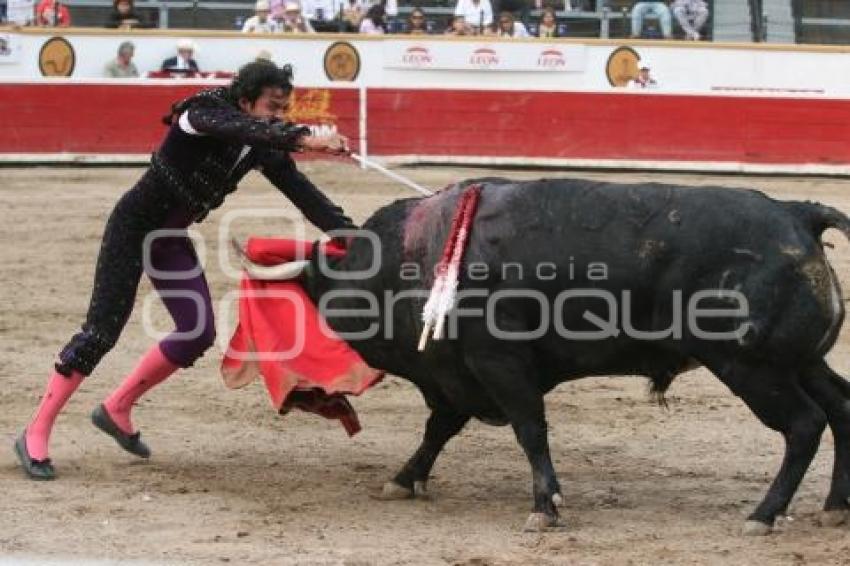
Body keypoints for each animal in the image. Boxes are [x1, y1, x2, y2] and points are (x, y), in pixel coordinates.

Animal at [302, 180, 848, 536]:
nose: (313, 393)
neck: (419, 254)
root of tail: (798, 213)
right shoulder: (458, 376)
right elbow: (438, 430)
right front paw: (403, 479)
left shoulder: (497, 362)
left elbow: (530, 429)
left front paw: (545, 506)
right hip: (799, 362)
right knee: (839, 406)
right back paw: (833, 507)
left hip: (751, 368)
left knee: (804, 424)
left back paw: (763, 514)